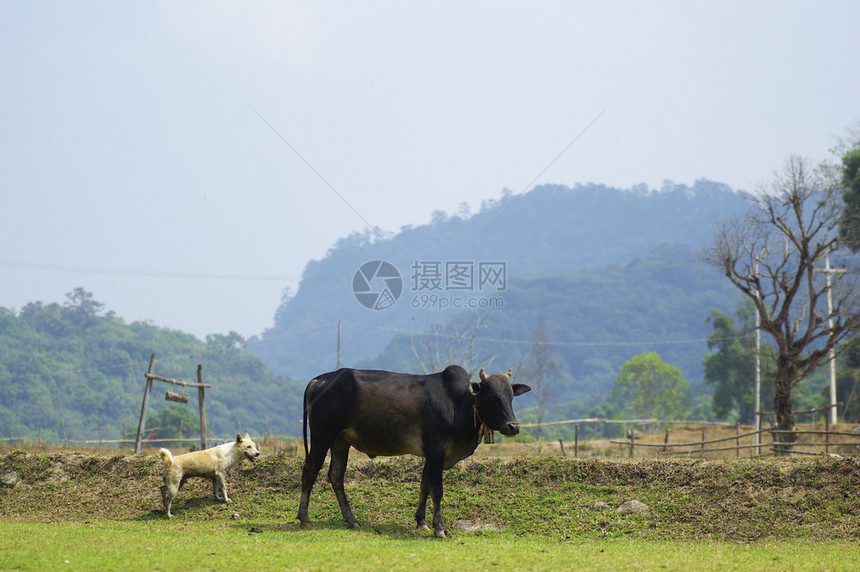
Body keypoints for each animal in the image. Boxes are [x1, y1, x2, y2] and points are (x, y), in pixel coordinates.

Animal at [300, 366, 532, 536]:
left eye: (511, 397)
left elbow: (424, 487)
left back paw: (352, 520)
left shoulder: (431, 454)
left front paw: (421, 522)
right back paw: (304, 519)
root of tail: (321, 379)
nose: (513, 426)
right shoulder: (437, 451)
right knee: (310, 471)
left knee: (336, 475)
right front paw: (439, 528)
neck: (458, 404)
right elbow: (437, 490)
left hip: (341, 441)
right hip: (322, 435)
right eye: (492, 397)